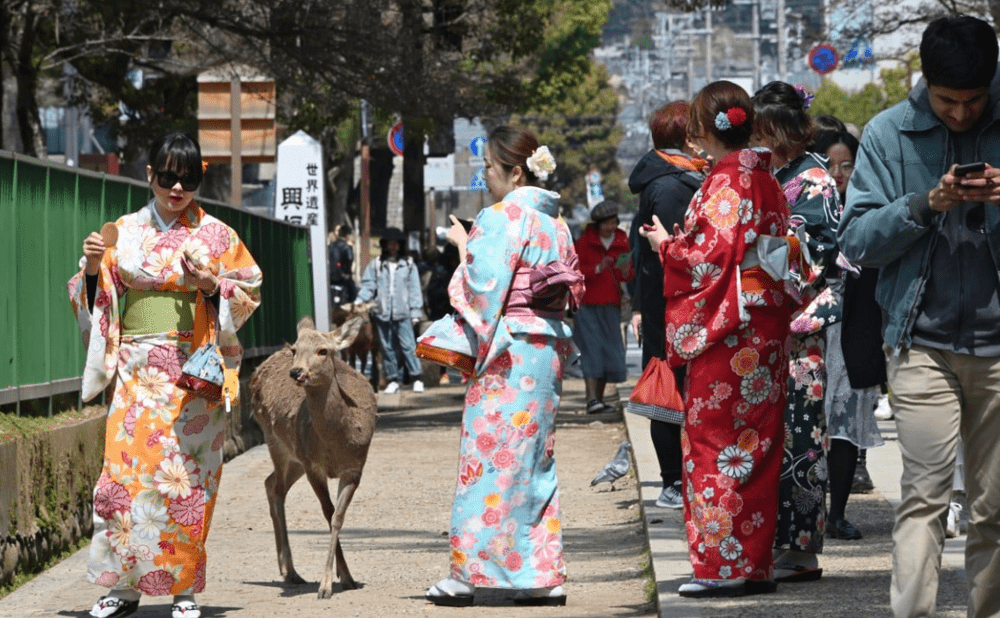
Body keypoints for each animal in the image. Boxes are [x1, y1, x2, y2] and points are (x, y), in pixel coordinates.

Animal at [250, 316, 378, 596]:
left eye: (323, 350)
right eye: (295, 349)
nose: (296, 372)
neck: (336, 443)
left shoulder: (355, 468)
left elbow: (337, 518)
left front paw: (346, 578)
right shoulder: (314, 468)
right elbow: (328, 514)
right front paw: (327, 584)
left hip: (296, 457)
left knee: (269, 482)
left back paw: (288, 570)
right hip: (275, 440)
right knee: (276, 488)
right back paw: (291, 571)